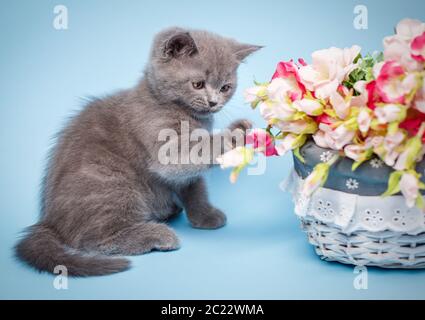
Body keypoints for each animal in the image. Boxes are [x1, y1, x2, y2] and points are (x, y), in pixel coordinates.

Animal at [16, 27, 260, 276]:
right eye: (198, 84)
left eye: (225, 88)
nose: (213, 102)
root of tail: (48, 220)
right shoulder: (164, 143)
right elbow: (193, 153)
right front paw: (235, 133)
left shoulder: (188, 171)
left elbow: (195, 186)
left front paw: (204, 215)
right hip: (112, 183)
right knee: (93, 240)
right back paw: (157, 234)